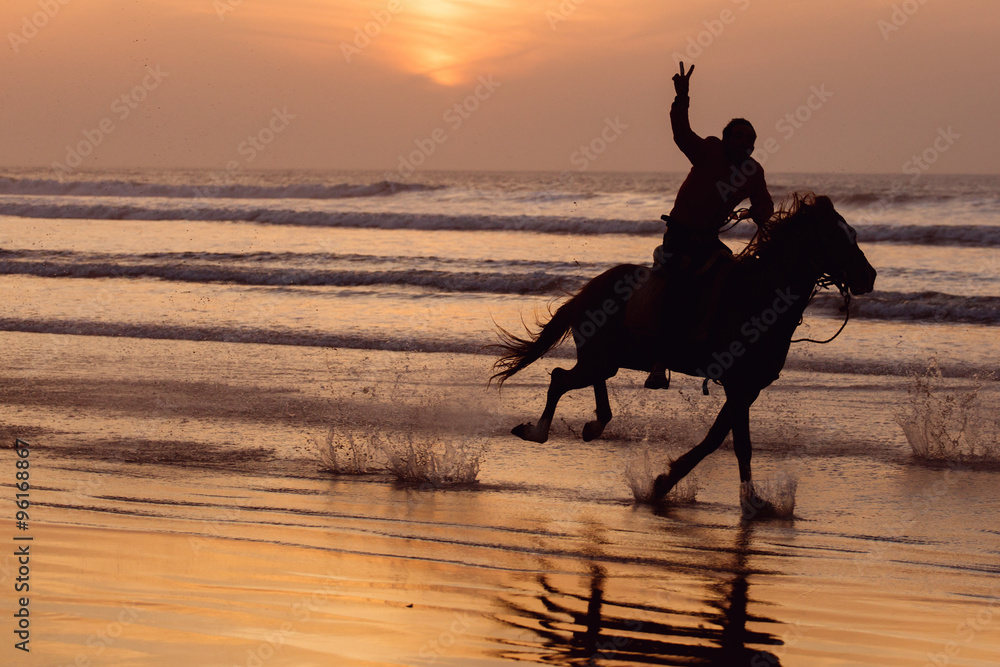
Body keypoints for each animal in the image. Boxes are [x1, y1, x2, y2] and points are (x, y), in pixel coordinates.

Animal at [490, 194, 877, 507]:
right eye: (833, 235)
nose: (868, 276)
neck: (759, 296)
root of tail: (586, 291)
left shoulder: (748, 387)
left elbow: (715, 438)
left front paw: (664, 482)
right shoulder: (738, 385)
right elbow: (740, 444)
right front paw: (751, 502)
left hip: (607, 358)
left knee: (588, 381)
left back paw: (596, 425)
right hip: (599, 357)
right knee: (559, 378)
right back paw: (538, 432)